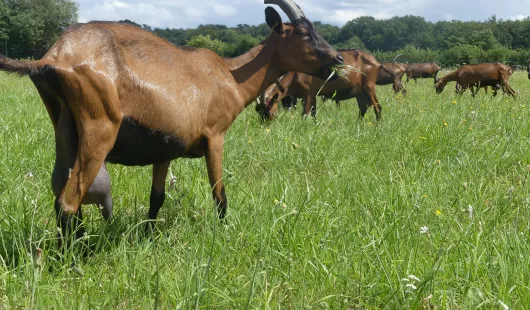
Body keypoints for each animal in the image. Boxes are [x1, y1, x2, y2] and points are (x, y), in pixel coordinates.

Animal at [0, 0, 342, 247]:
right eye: (303, 33)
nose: (337, 59)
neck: (229, 76)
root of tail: (53, 58)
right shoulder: (215, 137)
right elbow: (219, 193)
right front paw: (224, 233)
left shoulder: (164, 149)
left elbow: (157, 198)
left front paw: (148, 238)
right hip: (99, 128)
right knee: (68, 202)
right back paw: (75, 260)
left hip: (63, 124)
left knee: (66, 196)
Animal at [256, 49, 384, 120]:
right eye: (259, 112)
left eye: (269, 112)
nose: (265, 126)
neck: (295, 74)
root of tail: (376, 62)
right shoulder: (313, 95)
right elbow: (314, 114)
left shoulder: (308, 94)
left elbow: (305, 115)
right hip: (359, 92)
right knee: (363, 108)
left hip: (369, 86)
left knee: (378, 108)